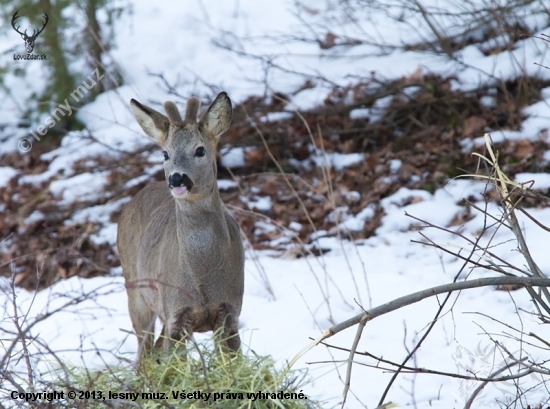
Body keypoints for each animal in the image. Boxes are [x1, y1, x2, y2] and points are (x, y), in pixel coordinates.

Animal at [119, 92, 246, 360]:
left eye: (200, 150)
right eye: (165, 154)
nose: (177, 178)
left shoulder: (230, 310)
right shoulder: (176, 313)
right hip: (135, 290)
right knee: (144, 352)